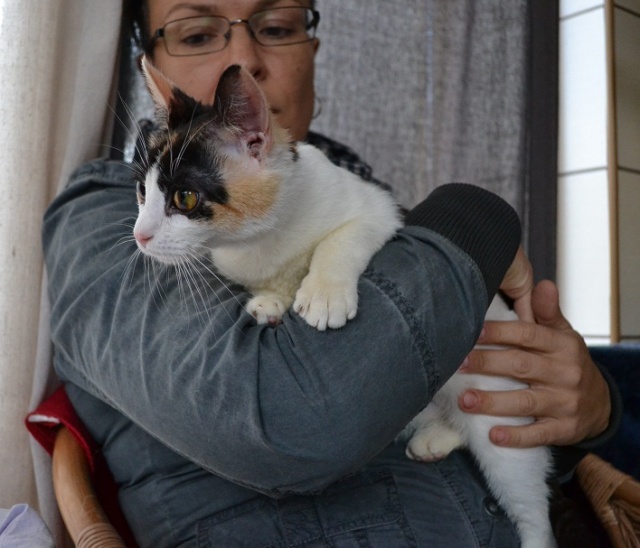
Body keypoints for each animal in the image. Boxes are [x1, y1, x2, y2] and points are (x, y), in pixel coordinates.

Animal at [134, 57, 554, 548]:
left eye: (184, 198)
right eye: (142, 193)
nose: (140, 236)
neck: (264, 239)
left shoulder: (383, 212)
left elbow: (342, 238)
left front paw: (323, 293)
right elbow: (271, 284)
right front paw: (269, 303)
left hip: (500, 415)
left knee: (528, 502)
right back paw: (435, 438)